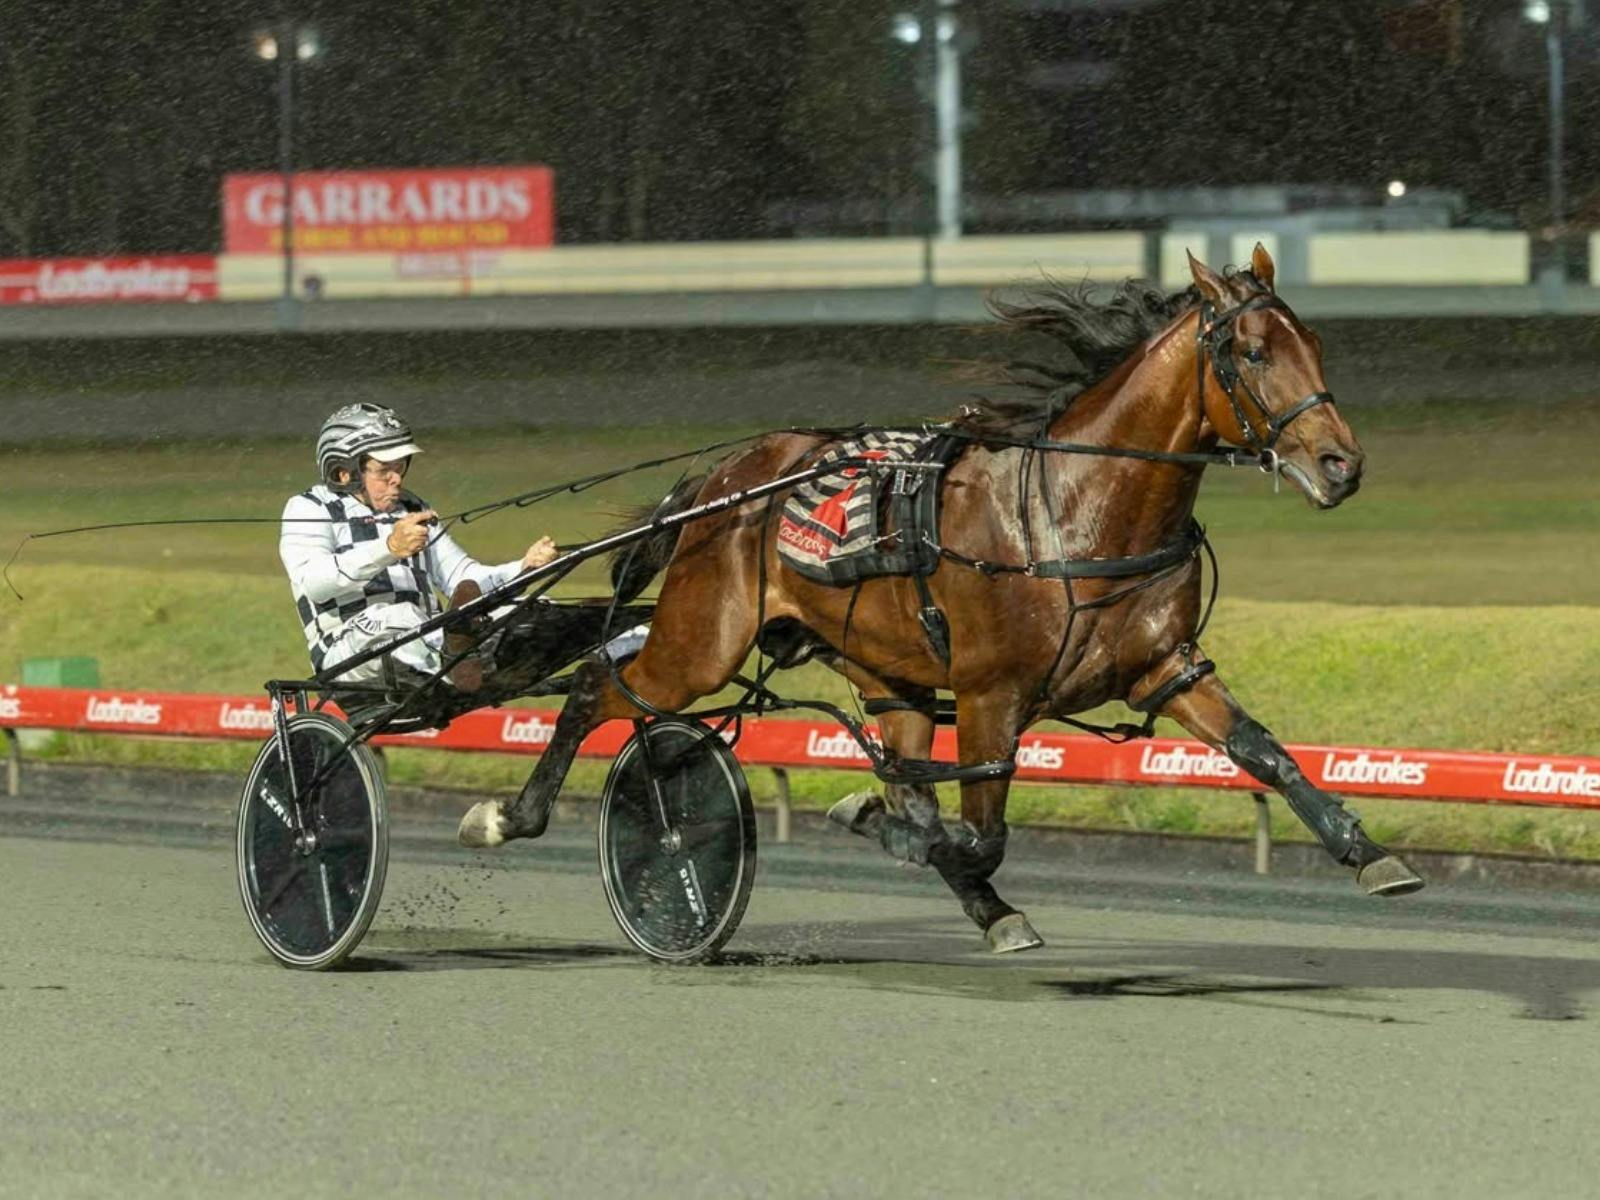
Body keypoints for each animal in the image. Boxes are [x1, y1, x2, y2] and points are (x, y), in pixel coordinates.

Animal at [458, 243, 1424, 953]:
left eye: (1316, 345)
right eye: (1252, 353)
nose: (1342, 464)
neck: (1075, 510)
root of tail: (725, 479)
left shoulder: (1165, 667)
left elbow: (1265, 753)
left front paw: (1368, 852)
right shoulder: (993, 692)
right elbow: (977, 826)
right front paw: (873, 819)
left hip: (886, 673)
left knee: (901, 761)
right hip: (701, 641)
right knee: (598, 686)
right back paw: (510, 814)